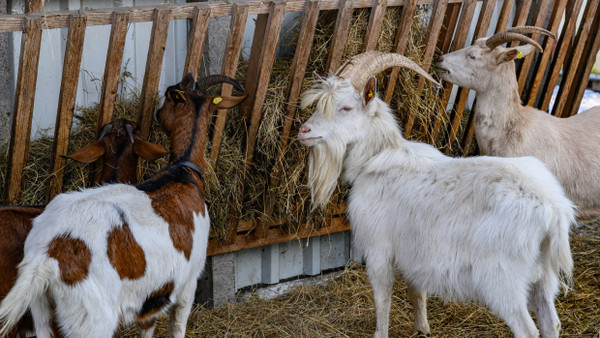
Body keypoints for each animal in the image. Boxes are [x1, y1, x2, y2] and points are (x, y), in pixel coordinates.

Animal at [298, 50, 576, 338]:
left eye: (346, 108)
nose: (303, 131)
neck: (374, 159)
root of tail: (553, 210)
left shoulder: (378, 250)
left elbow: (382, 300)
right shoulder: (415, 254)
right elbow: (417, 290)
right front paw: (422, 328)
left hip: (502, 280)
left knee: (527, 329)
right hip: (543, 276)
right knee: (551, 322)